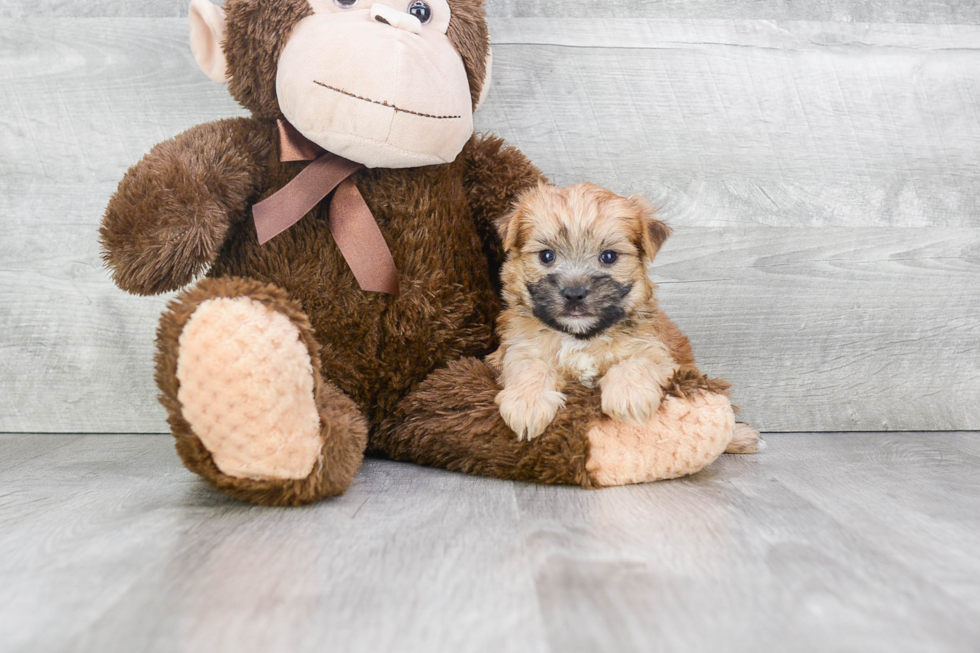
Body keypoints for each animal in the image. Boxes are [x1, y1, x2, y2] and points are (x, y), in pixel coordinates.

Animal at [490, 181, 680, 440]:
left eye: (608, 256)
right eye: (546, 256)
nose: (574, 293)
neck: (580, 337)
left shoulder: (658, 352)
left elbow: (638, 361)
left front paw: (629, 395)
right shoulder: (516, 348)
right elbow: (529, 365)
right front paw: (527, 403)